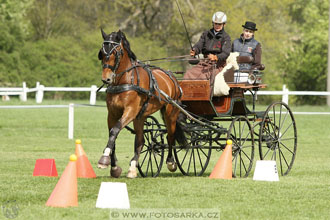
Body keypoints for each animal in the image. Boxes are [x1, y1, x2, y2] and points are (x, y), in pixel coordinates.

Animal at [97, 29, 186, 178]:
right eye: (102, 54)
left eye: (115, 53)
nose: (106, 79)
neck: (125, 80)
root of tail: (172, 77)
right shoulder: (113, 113)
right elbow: (112, 134)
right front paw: (114, 167)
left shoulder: (130, 111)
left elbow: (115, 130)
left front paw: (104, 159)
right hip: (141, 116)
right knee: (140, 140)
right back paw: (133, 167)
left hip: (170, 113)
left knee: (170, 136)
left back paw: (170, 162)